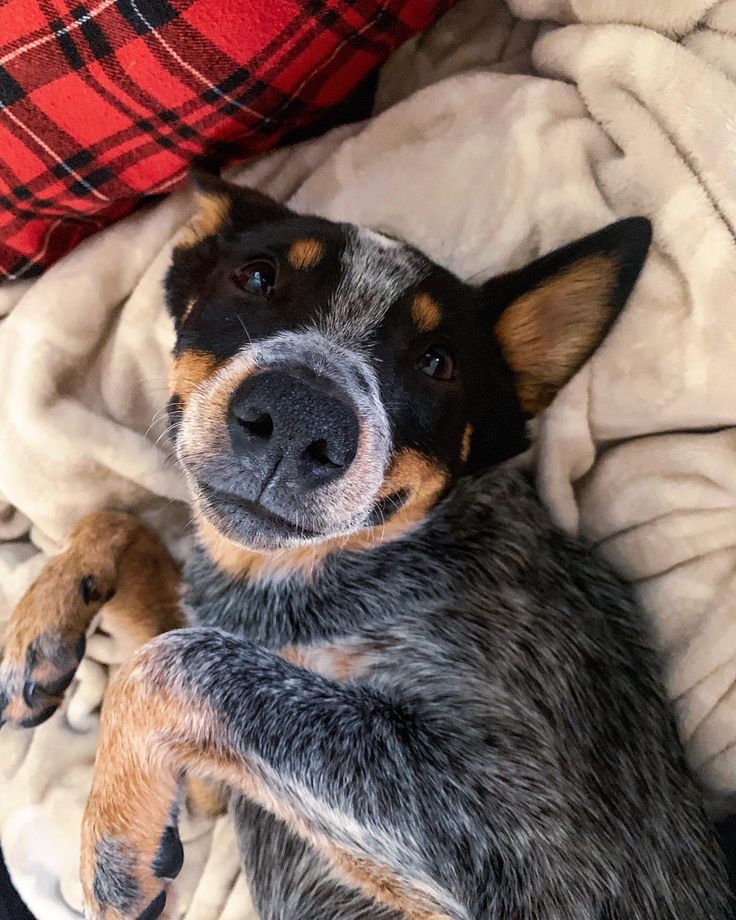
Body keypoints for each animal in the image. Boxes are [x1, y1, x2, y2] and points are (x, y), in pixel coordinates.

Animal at [0, 174, 728, 920]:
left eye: (438, 362)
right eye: (257, 277)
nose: (298, 415)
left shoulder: (540, 854)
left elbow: (170, 661)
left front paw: (111, 842)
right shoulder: (214, 780)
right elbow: (120, 529)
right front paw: (40, 630)